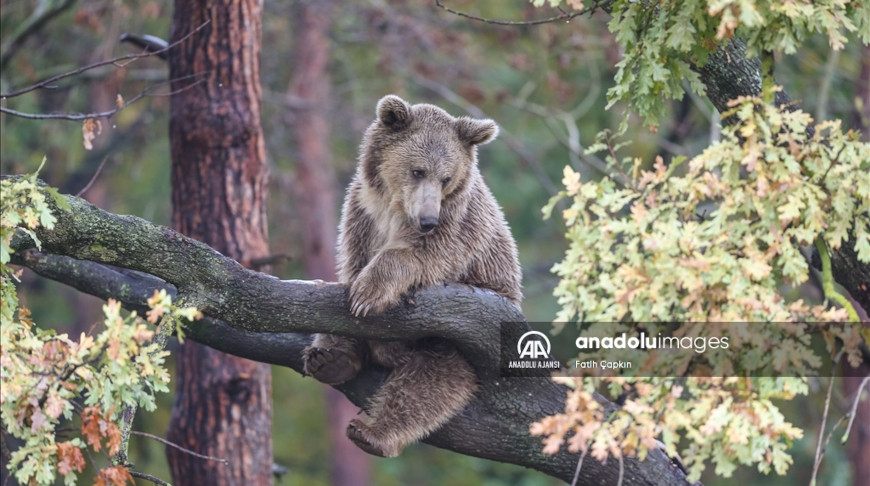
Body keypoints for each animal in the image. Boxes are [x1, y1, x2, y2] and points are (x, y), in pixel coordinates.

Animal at [304, 93, 524, 458]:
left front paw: (368, 293)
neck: (394, 206)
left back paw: (372, 432)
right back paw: (331, 359)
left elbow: (421, 257)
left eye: (446, 177)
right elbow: (350, 270)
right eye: (417, 170)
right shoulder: (362, 213)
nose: (427, 220)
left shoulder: (456, 224)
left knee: (428, 381)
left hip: (470, 332)